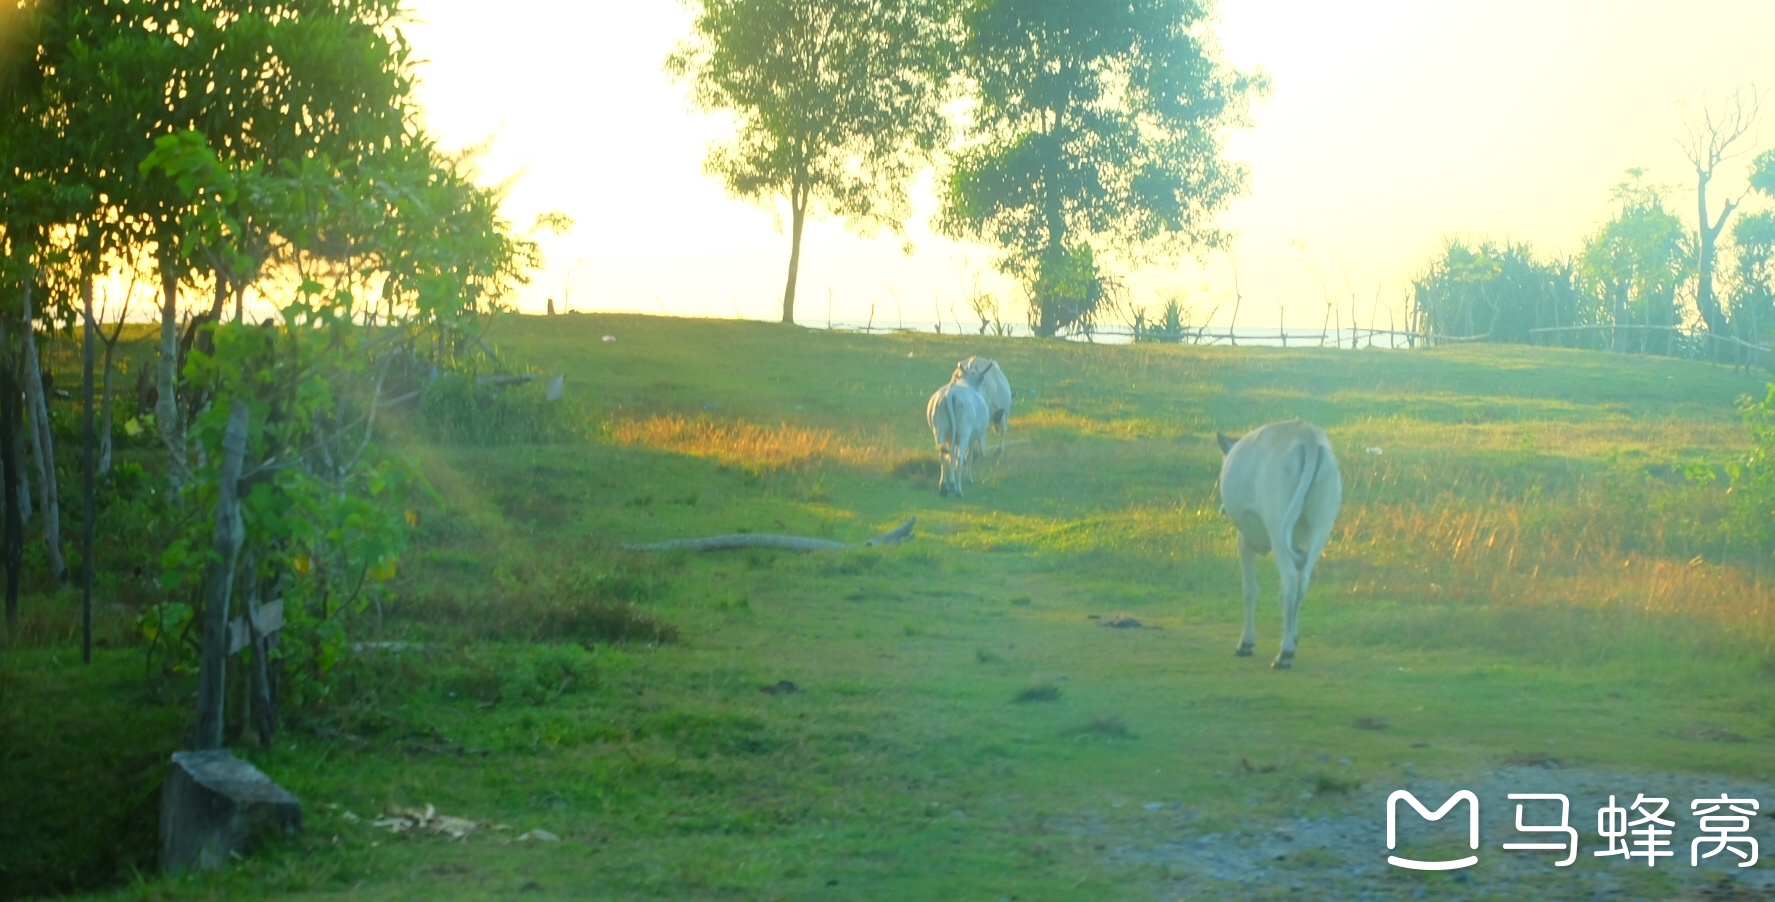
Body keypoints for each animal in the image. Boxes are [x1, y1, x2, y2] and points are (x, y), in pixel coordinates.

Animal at [1221, 419, 1341, 667]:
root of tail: (1308, 435)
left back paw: (1284, 654)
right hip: (1322, 525)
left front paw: (1246, 643)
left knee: (1289, 580)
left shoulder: (1244, 539)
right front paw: (1294, 634)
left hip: (1276, 524)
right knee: (1302, 582)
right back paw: (1289, 643)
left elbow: (1250, 590)